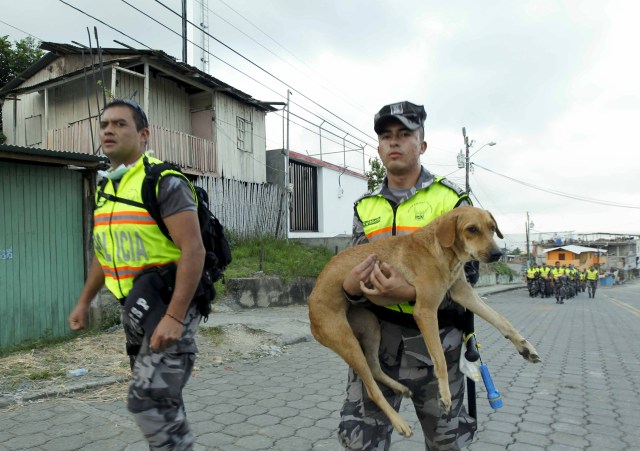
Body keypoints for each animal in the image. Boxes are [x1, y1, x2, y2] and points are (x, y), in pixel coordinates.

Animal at [68, 98, 204, 448]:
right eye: (106, 123)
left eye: (120, 123)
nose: (108, 133)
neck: (124, 172)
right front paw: (79, 313)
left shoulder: (173, 191)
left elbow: (191, 246)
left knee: (155, 397)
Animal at [308, 207, 536, 438]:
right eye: (472, 229)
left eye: (491, 228)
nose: (497, 254)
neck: (442, 251)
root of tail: (311, 300)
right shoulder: (425, 311)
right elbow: (440, 360)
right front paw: (444, 395)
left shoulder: (462, 292)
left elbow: (501, 320)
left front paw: (525, 347)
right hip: (348, 343)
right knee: (372, 390)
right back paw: (398, 422)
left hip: (371, 327)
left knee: (374, 367)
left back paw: (399, 388)